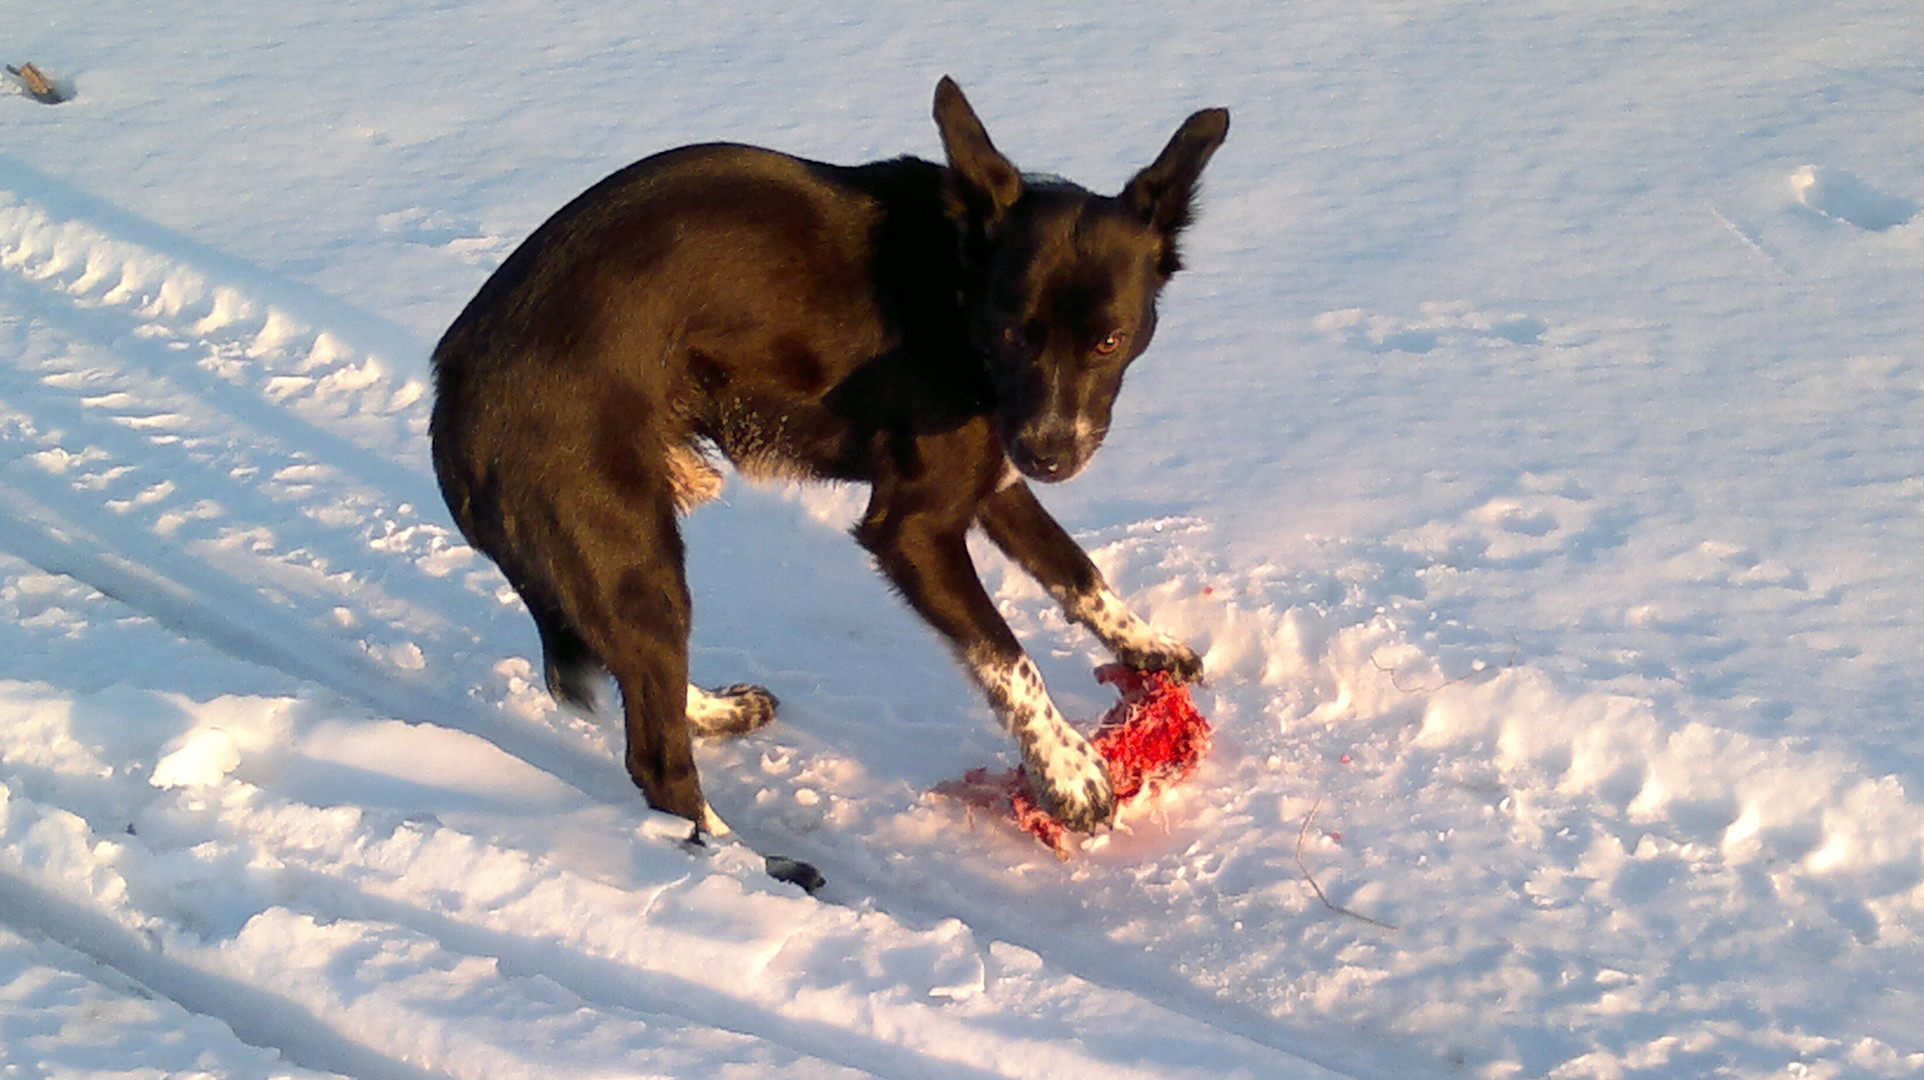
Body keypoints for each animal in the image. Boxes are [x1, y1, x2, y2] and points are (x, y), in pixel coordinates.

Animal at [429, 73, 1223, 850]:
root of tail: (451, 397)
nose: (1049, 454)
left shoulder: (992, 480)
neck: (957, 283)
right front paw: (1067, 773)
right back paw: (743, 865)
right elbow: (1007, 656)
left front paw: (1147, 645)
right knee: (657, 761)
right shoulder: (912, 528)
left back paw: (717, 714)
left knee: (648, 683)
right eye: (1011, 334)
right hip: (629, 553)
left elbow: (1077, 573)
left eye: (1108, 341)